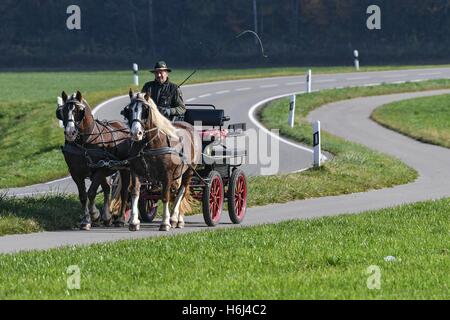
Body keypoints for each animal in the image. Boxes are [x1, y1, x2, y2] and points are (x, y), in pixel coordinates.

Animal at [57, 90, 131, 230]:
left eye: (79, 111)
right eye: (62, 111)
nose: (70, 133)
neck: (84, 144)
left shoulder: (100, 169)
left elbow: (91, 193)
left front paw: (94, 215)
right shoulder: (76, 173)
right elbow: (83, 196)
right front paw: (87, 220)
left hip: (123, 169)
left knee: (125, 191)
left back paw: (120, 219)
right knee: (107, 188)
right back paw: (107, 216)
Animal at [122, 91, 201, 231]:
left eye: (145, 110)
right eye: (129, 110)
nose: (136, 133)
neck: (149, 145)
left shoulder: (167, 175)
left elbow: (165, 196)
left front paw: (165, 223)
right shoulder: (135, 171)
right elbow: (135, 193)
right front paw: (134, 222)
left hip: (189, 172)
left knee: (182, 191)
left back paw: (175, 219)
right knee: (177, 192)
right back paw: (177, 219)